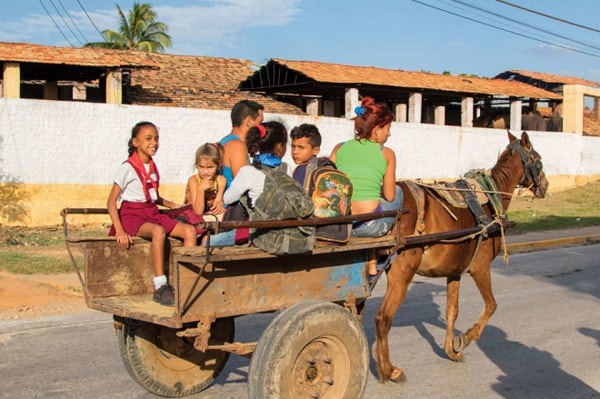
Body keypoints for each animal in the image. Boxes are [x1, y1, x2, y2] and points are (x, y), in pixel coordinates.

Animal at [376, 131, 548, 384]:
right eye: (538, 159)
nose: (545, 185)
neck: (490, 200)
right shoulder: (480, 268)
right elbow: (492, 305)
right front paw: (465, 338)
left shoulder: (454, 272)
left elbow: (452, 310)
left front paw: (451, 349)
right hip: (402, 272)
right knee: (383, 319)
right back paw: (388, 369)